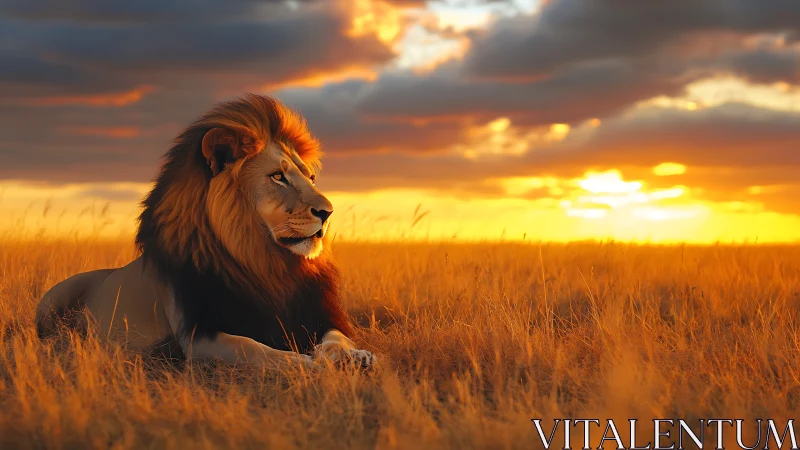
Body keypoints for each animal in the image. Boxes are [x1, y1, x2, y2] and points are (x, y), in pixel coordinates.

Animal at [35, 94, 376, 371]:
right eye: (278, 176)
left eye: (311, 177)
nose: (328, 212)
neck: (264, 262)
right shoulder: (198, 334)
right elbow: (254, 349)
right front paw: (306, 364)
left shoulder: (320, 314)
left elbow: (337, 338)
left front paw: (355, 356)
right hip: (53, 300)